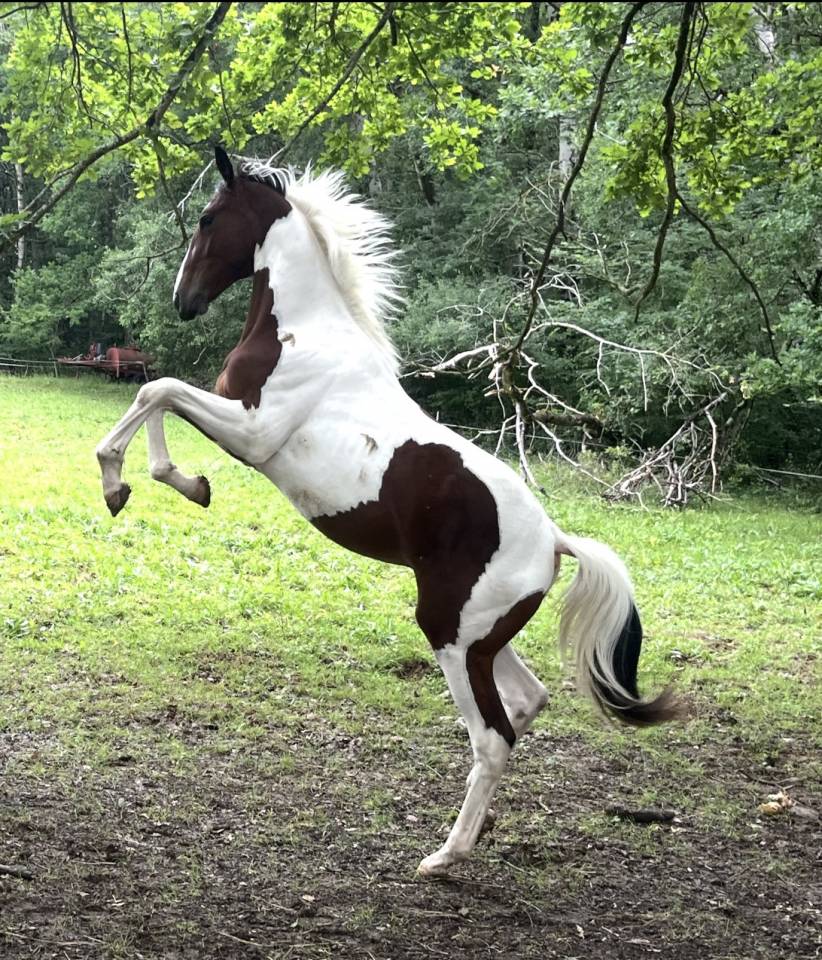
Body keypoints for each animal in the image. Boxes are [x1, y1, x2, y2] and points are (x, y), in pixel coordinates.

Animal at [96, 145, 679, 876]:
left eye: (207, 219)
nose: (184, 302)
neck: (306, 333)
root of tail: (555, 541)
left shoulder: (255, 433)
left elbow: (158, 388)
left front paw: (131, 482)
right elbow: (159, 392)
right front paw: (181, 482)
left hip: (451, 634)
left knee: (493, 735)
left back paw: (444, 856)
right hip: (481, 636)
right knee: (527, 703)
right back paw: (477, 832)